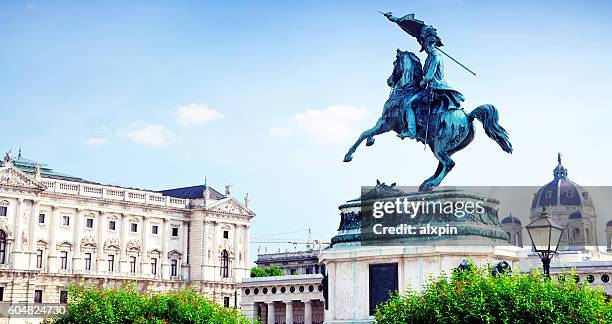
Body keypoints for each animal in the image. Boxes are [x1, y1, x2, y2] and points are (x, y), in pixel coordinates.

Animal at [344, 50, 512, 191]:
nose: (389, 81)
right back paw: (427, 182)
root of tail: (468, 116)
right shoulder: (383, 122)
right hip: (443, 147)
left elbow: (364, 132)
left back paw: (431, 184)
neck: (404, 90)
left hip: (439, 145)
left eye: (394, 63)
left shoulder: (387, 123)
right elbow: (367, 132)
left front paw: (348, 155)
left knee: (449, 164)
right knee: (442, 165)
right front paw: (369, 142)